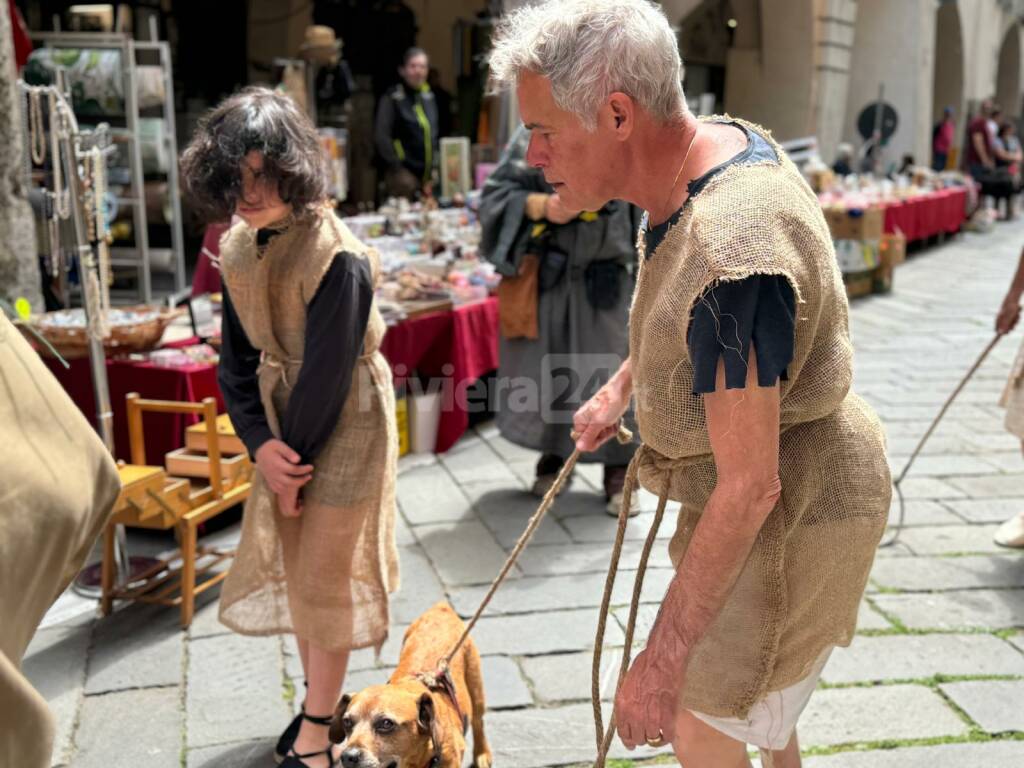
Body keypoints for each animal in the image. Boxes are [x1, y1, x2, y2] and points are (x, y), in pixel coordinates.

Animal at [325, 602, 489, 768]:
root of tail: (441, 608)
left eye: (386, 723)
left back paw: (482, 754)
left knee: (478, 722)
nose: (347, 757)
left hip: (476, 691)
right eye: (346, 722)